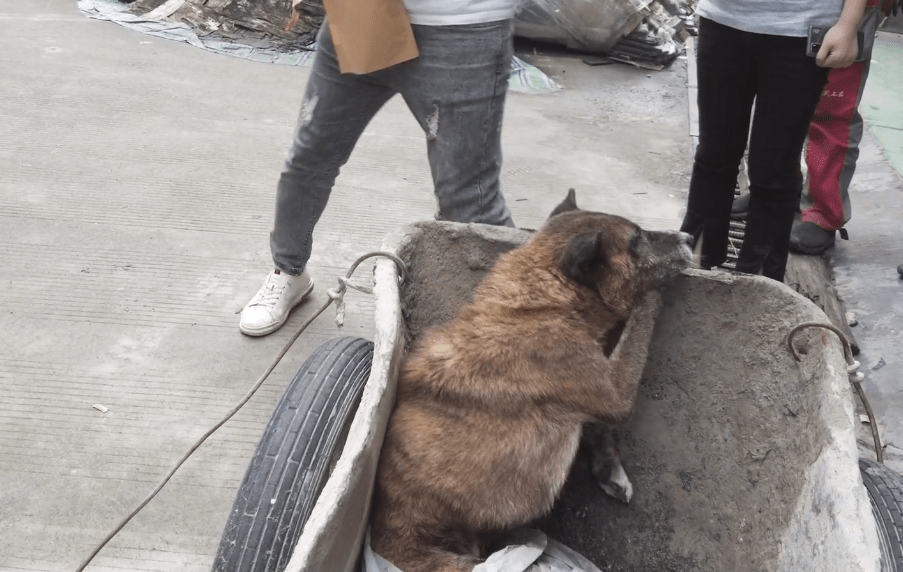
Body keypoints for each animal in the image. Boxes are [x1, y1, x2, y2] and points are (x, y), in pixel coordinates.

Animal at [368, 192, 692, 572]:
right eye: (637, 239)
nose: (688, 237)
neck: (544, 297)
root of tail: (385, 537)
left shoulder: (596, 390)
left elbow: (597, 427)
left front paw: (608, 468)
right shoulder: (615, 389)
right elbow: (642, 312)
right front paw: (654, 290)